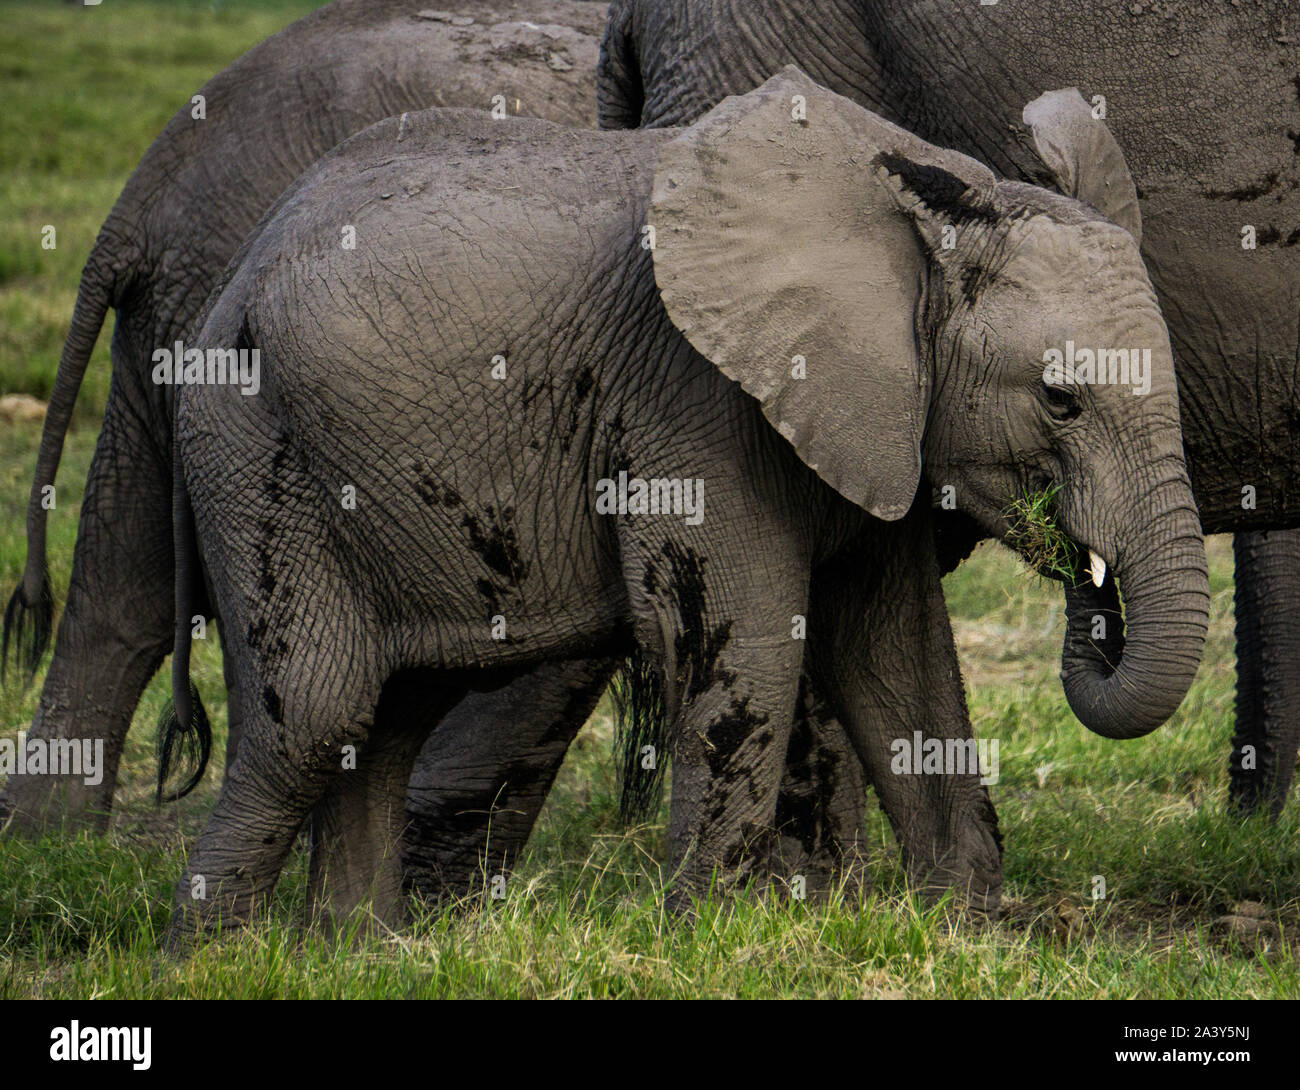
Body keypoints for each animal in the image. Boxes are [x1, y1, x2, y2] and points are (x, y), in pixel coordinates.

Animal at [160, 69, 1207, 945]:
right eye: (1060, 400)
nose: (1084, 570)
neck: (920, 211)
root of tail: (233, 280)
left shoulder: (871, 416)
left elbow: (896, 653)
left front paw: (962, 929)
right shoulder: (695, 401)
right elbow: (742, 654)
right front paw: (702, 937)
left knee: (388, 717)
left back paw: (357, 953)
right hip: (252, 445)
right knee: (314, 718)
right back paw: (213, 962)